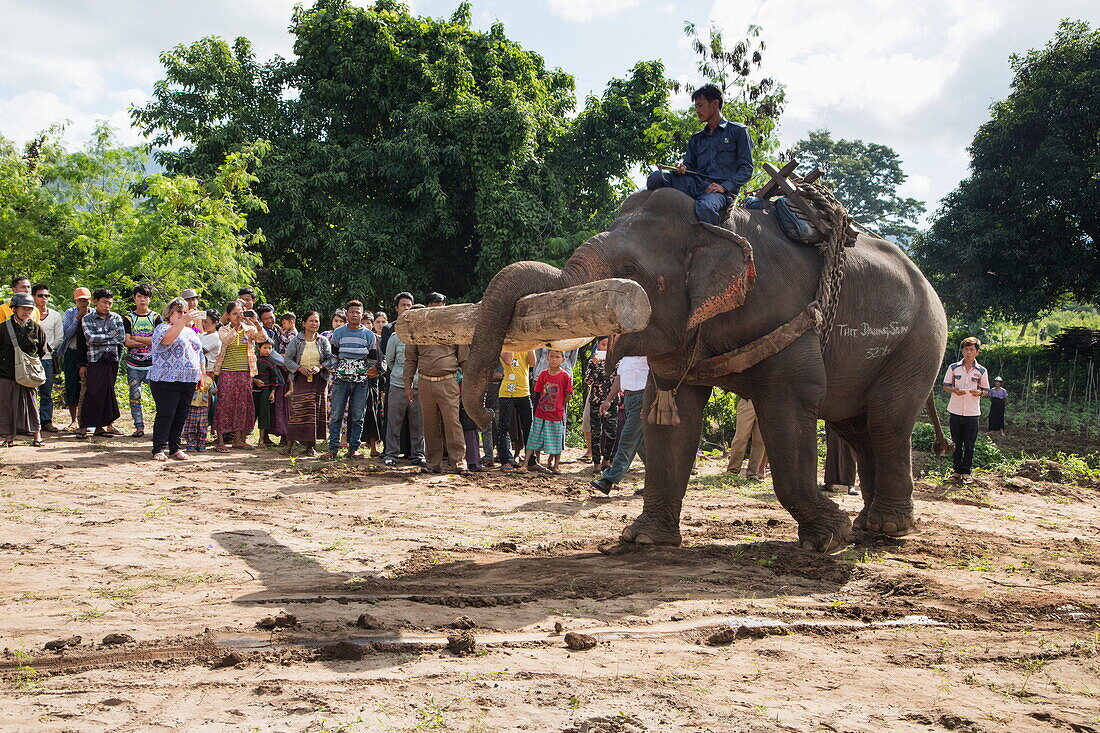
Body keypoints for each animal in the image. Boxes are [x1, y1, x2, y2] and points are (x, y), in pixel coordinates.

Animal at [459, 186, 950, 550]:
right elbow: (668, 413)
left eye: (630, 270)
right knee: (855, 423)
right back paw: (872, 523)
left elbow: (791, 407)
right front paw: (643, 538)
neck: (713, 229)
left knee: (886, 421)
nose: (485, 411)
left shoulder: (788, 316)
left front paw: (831, 538)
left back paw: (886, 528)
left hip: (920, 341)